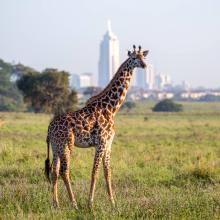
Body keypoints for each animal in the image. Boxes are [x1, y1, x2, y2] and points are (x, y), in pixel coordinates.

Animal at [44, 45, 148, 208]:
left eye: (143, 56)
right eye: (133, 58)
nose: (144, 65)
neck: (111, 108)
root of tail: (49, 128)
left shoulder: (108, 144)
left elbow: (107, 172)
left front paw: (113, 203)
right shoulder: (101, 143)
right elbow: (95, 172)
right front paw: (90, 203)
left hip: (56, 147)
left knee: (54, 171)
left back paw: (56, 204)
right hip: (66, 145)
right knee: (64, 171)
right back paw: (74, 203)